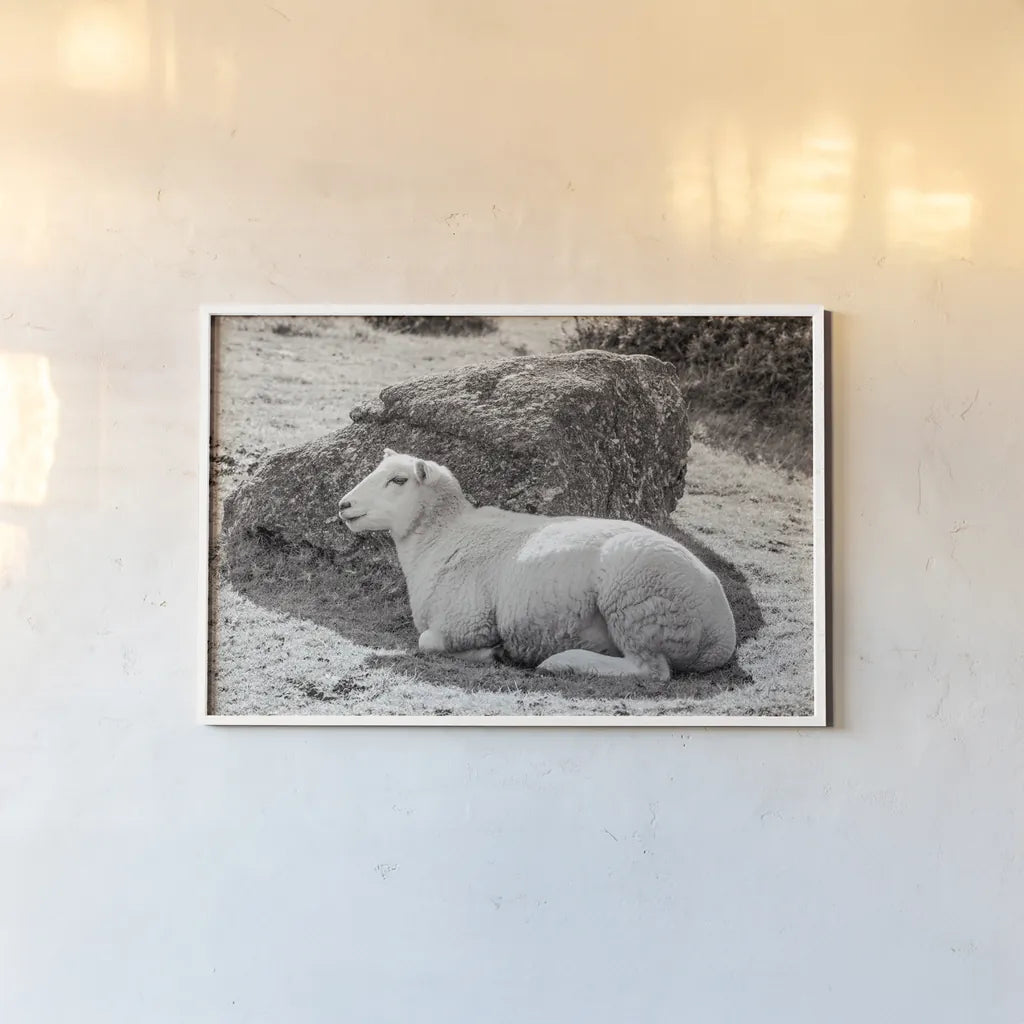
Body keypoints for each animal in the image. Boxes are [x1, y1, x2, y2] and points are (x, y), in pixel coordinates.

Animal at [337, 449, 737, 682]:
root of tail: (722, 632)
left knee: (650, 670)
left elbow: (427, 641)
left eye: (398, 480)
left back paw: (565, 662)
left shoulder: (465, 621)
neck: (445, 535)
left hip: (636, 601)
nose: (343, 505)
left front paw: (493, 652)